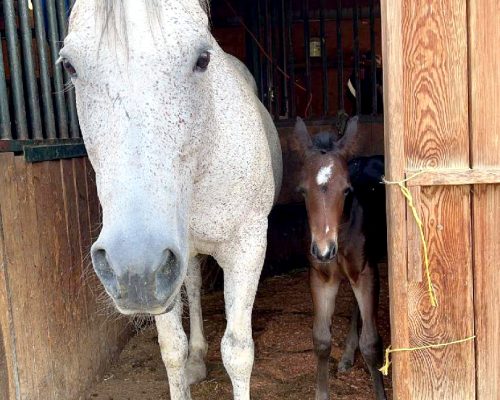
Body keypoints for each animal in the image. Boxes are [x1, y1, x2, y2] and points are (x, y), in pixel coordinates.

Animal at [61, 1, 282, 398]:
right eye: (70, 65)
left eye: (203, 59)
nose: (133, 266)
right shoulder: (163, 267)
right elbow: (172, 349)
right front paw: (188, 360)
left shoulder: (248, 246)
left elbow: (238, 352)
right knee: (192, 289)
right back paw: (198, 358)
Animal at [292, 116, 386, 400]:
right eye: (302, 191)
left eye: (346, 190)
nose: (324, 251)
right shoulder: (321, 278)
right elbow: (322, 339)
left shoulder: (366, 271)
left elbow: (372, 343)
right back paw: (346, 357)